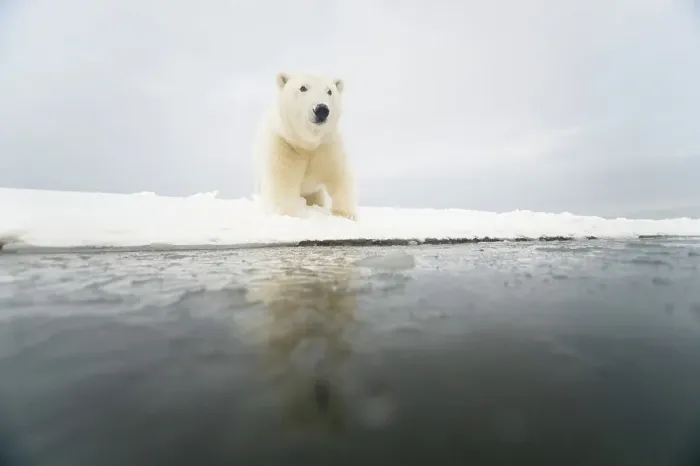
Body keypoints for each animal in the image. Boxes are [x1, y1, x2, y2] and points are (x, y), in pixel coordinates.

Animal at [252, 71, 357, 220]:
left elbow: (340, 177)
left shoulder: (327, 147)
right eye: (303, 88)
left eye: (329, 91)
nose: (321, 109)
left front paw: (345, 215)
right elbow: (283, 182)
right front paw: (288, 214)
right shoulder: (284, 144)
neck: (307, 143)